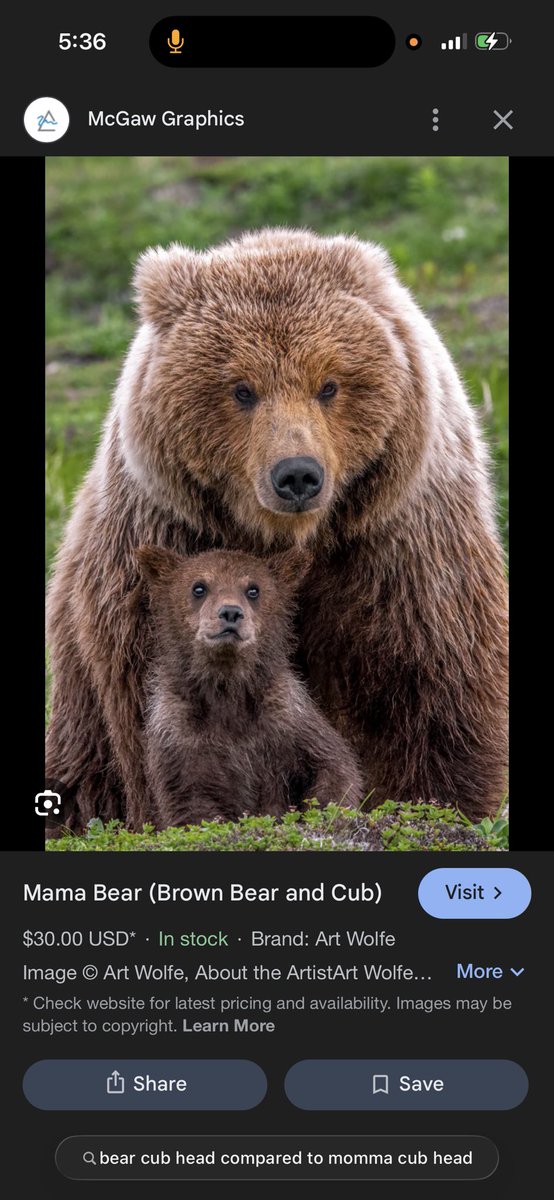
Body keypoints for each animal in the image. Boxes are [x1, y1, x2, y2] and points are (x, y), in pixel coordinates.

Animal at [135, 544, 364, 826]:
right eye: (199, 587)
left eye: (253, 589)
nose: (230, 613)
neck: (228, 691)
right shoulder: (179, 737)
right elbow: (192, 805)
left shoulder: (287, 720)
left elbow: (333, 766)